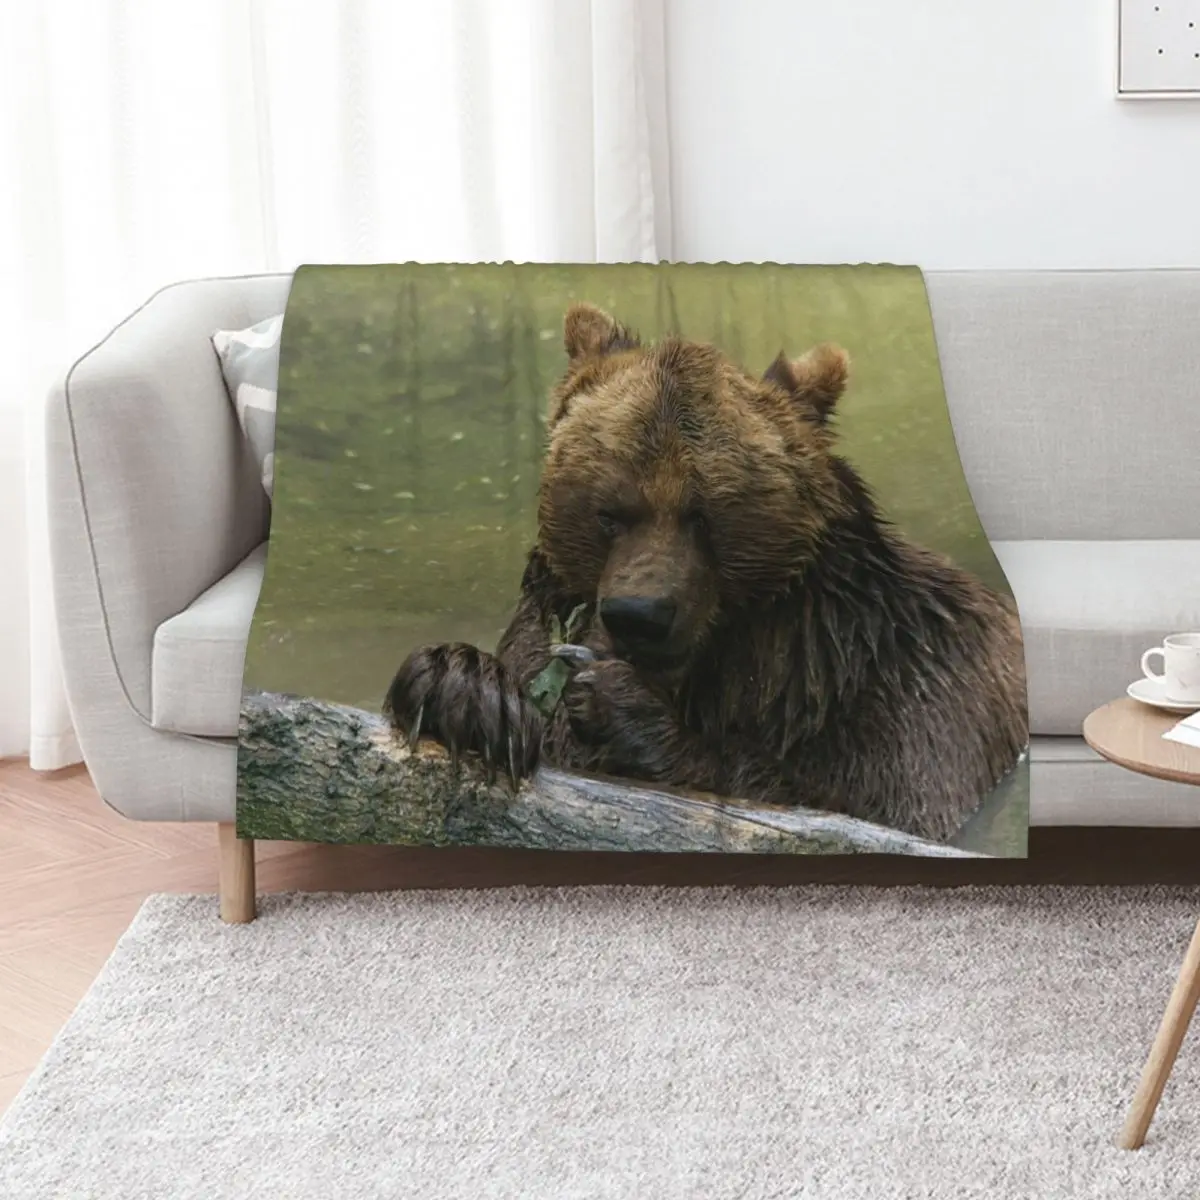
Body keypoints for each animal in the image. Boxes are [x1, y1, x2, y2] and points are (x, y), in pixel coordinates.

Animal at [383, 302, 1028, 843]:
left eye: (705, 514)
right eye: (609, 512)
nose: (639, 615)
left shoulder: (908, 686)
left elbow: (866, 801)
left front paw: (619, 705)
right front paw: (463, 687)